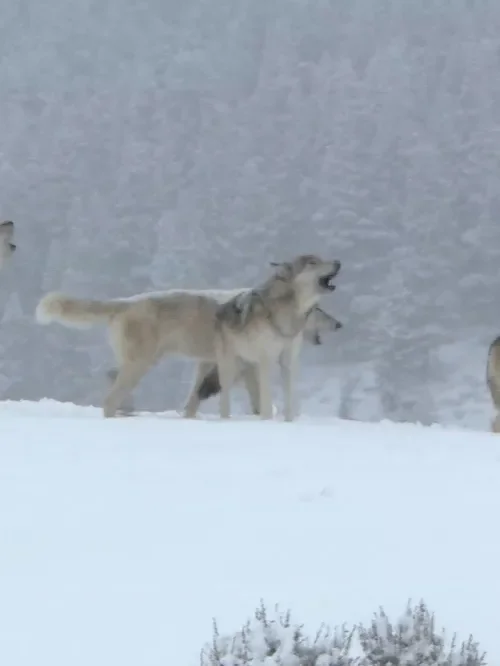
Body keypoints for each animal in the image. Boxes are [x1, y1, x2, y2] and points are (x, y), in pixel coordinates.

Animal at [213, 254, 340, 421]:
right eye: (312, 263)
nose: (338, 262)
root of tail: (220, 310)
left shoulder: (288, 361)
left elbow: (289, 401)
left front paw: (288, 422)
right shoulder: (266, 360)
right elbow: (267, 401)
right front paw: (268, 421)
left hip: (251, 369)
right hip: (229, 369)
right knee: (225, 399)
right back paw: (225, 419)